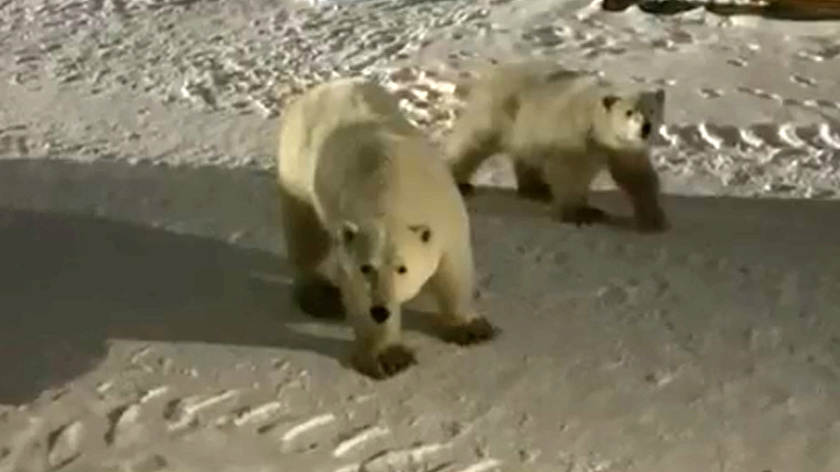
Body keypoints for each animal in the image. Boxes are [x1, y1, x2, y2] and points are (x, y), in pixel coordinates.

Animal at [276, 77, 498, 380]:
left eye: (402, 267)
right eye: (366, 267)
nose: (380, 309)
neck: (390, 191)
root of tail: (315, 91)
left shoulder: (446, 215)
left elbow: (454, 271)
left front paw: (470, 328)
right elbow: (356, 292)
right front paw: (388, 358)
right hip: (297, 170)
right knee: (305, 235)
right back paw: (318, 297)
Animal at [446, 60, 668, 233]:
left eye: (652, 110)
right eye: (629, 112)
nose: (646, 128)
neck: (596, 122)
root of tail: (493, 73)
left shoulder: (624, 149)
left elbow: (635, 175)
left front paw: (654, 219)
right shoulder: (578, 138)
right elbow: (571, 173)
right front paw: (583, 213)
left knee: (525, 155)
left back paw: (536, 190)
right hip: (500, 111)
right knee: (474, 141)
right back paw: (460, 183)